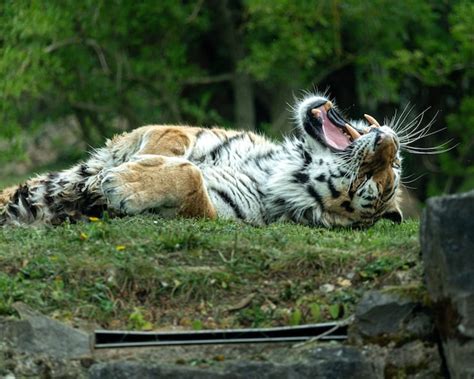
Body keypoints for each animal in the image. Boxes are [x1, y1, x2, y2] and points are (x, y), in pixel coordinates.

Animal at [0, 93, 404, 227]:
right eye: (393, 167)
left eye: (363, 183)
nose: (389, 142)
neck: (274, 170)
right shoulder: (175, 132)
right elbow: (174, 141)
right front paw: (138, 162)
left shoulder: (219, 212)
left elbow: (192, 178)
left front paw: (122, 183)